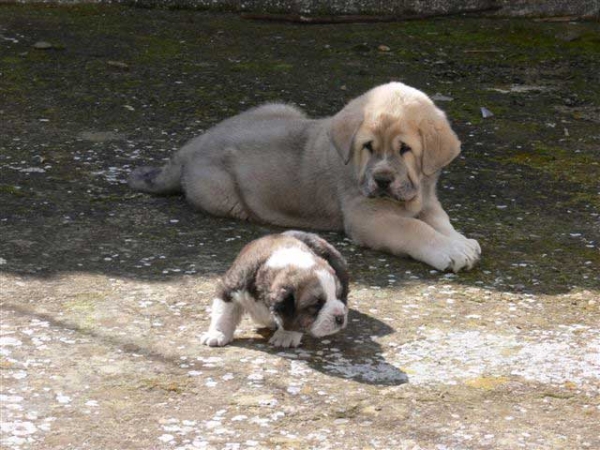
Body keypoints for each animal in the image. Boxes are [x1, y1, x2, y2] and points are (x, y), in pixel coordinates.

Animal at [129, 81, 480, 270]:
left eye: (405, 149)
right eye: (368, 146)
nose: (381, 180)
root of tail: (190, 146)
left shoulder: (427, 198)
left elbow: (440, 220)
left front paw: (460, 241)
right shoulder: (369, 217)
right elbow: (415, 229)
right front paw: (450, 251)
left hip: (283, 107)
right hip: (226, 196)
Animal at [202, 230, 350, 350]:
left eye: (338, 296)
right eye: (316, 304)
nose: (340, 318)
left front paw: (286, 336)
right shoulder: (231, 286)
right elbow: (223, 313)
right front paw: (217, 334)